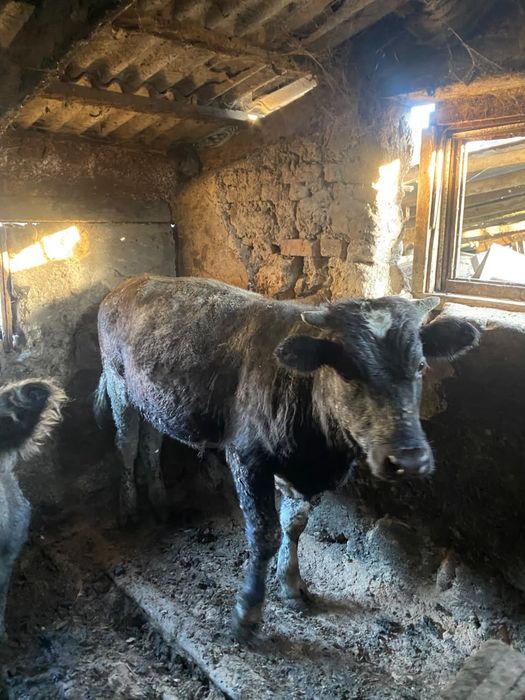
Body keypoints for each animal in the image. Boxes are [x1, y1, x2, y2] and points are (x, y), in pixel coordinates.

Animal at [94, 275, 479, 641]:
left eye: (421, 365)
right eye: (348, 369)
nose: (409, 460)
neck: (319, 454)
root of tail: (131, 282)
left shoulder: (300, 473)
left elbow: (294, 526)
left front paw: (292, 586)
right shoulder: (247, 458)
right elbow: (265, 534)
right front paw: (247, 612)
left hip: (153, 399)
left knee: (151, 443)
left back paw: (160, 503)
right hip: (117, 381)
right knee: (125, 443)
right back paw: (130, 511)